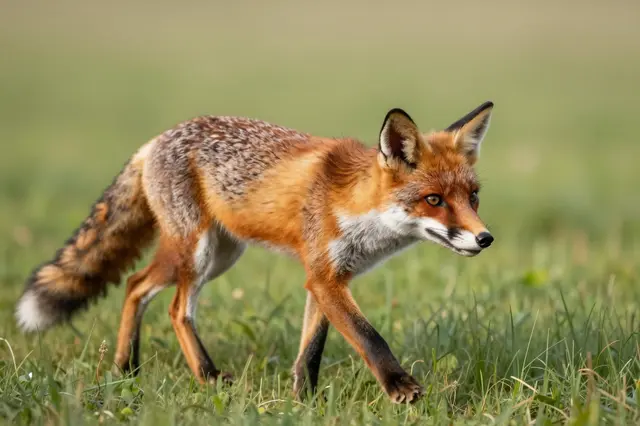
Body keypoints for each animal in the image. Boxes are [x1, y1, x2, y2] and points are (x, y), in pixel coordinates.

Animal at [16, 101, 495, 404]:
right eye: (434, 200)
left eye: (473, 197)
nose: (485, 239)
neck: (359, 210)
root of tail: (153, 141)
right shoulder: (324, 276)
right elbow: (368, 337)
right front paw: (399, 387)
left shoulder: (328, 279)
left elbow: (310, 352)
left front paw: (304, 402)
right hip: (195, 253)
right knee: (173, 307)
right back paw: (206, 376)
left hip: (220, 256)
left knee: (135, 285)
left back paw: (126, 369)